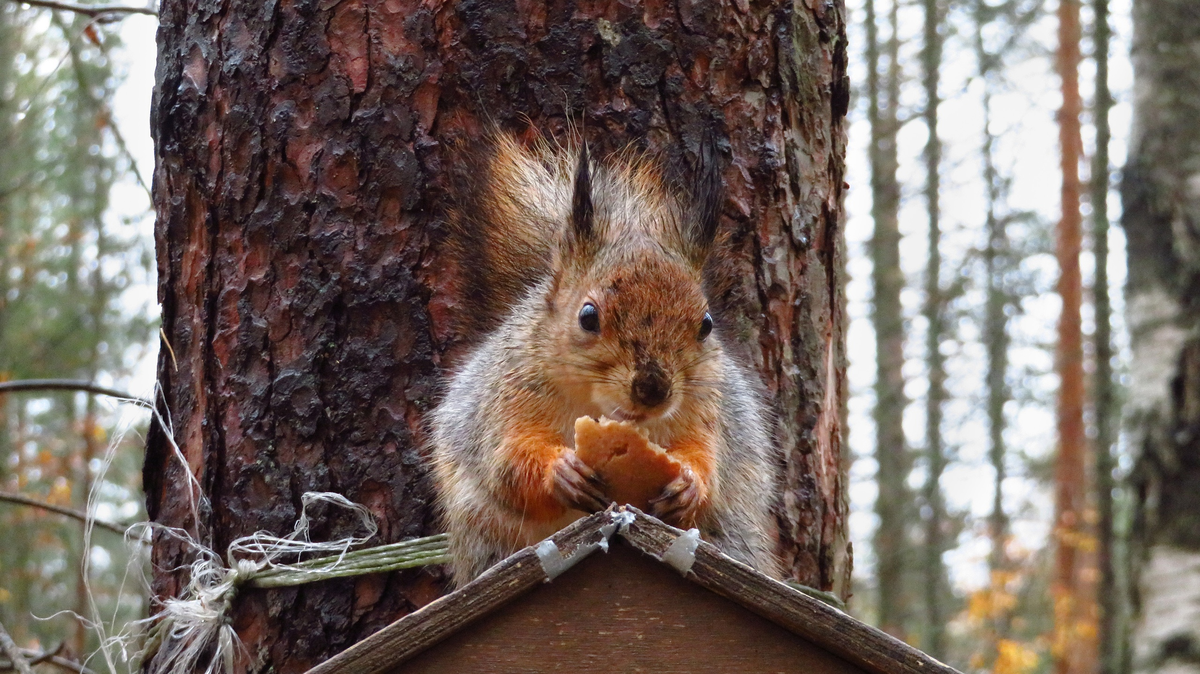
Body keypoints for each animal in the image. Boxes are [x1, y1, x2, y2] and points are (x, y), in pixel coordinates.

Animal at [427, 131, 782, 582]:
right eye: (588, 316)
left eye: (705, 324)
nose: (653, 389)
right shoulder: (507, 398)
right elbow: (505, 465)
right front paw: (561, 473)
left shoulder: (707, 409)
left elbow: (706, 459)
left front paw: (689, 484)